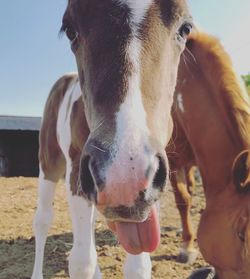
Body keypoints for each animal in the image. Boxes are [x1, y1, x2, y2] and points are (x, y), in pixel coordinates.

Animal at [30, 0, 191, 279]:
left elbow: (138, 267)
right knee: (43, 220)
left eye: (185, 28)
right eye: (69, 29)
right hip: (50, 163)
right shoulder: (77, 169)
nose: (125, 177)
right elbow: (80, 262)